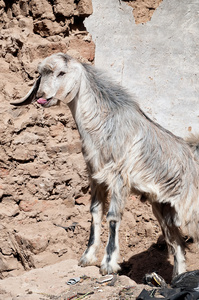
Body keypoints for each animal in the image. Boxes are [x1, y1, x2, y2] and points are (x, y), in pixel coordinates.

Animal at [11, 52, 199, 278]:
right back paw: (178, 278)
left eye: (61, 72)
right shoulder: (96, 177)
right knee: (176, 243)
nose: (42, 96)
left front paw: (108, 264)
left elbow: (112, 217)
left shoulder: (119, 178)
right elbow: (95, 213)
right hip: (164, 208)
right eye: (41, 73)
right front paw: (87, 257)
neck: (102, 127)